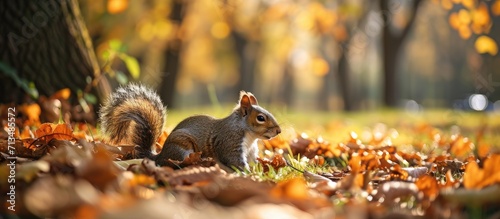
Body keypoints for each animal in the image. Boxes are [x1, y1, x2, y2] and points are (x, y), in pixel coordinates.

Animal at [99, 84, 282, 171]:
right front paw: (250, 174)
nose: (279, 131)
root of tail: (160, 156)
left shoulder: (250, 151)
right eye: (260, 118)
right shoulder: (230, 142)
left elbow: (253, 161)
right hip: (182, 148)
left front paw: (262, 168)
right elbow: (235, 161)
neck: (250, 137)